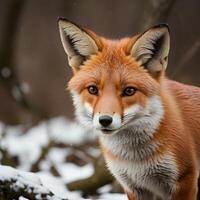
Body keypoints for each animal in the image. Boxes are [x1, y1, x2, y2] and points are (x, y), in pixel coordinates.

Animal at [57, 18, 200, 199]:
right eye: (93, 89)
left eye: (129, 91)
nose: (105, 120)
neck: (136, 160)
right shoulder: (134, 187)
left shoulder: (185, 178)